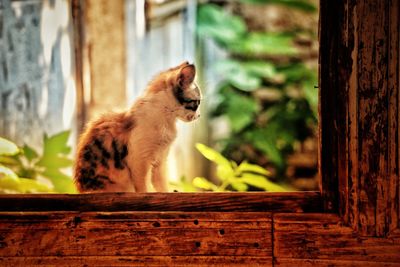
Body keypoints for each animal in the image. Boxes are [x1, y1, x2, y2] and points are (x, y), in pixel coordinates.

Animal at [72, 62, 200, 194]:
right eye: (197, 103)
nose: (199, 115)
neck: (167, 119)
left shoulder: (160, 161)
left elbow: (161, 185)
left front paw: (166, 193)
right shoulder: (139, 160)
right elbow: (143, 188)